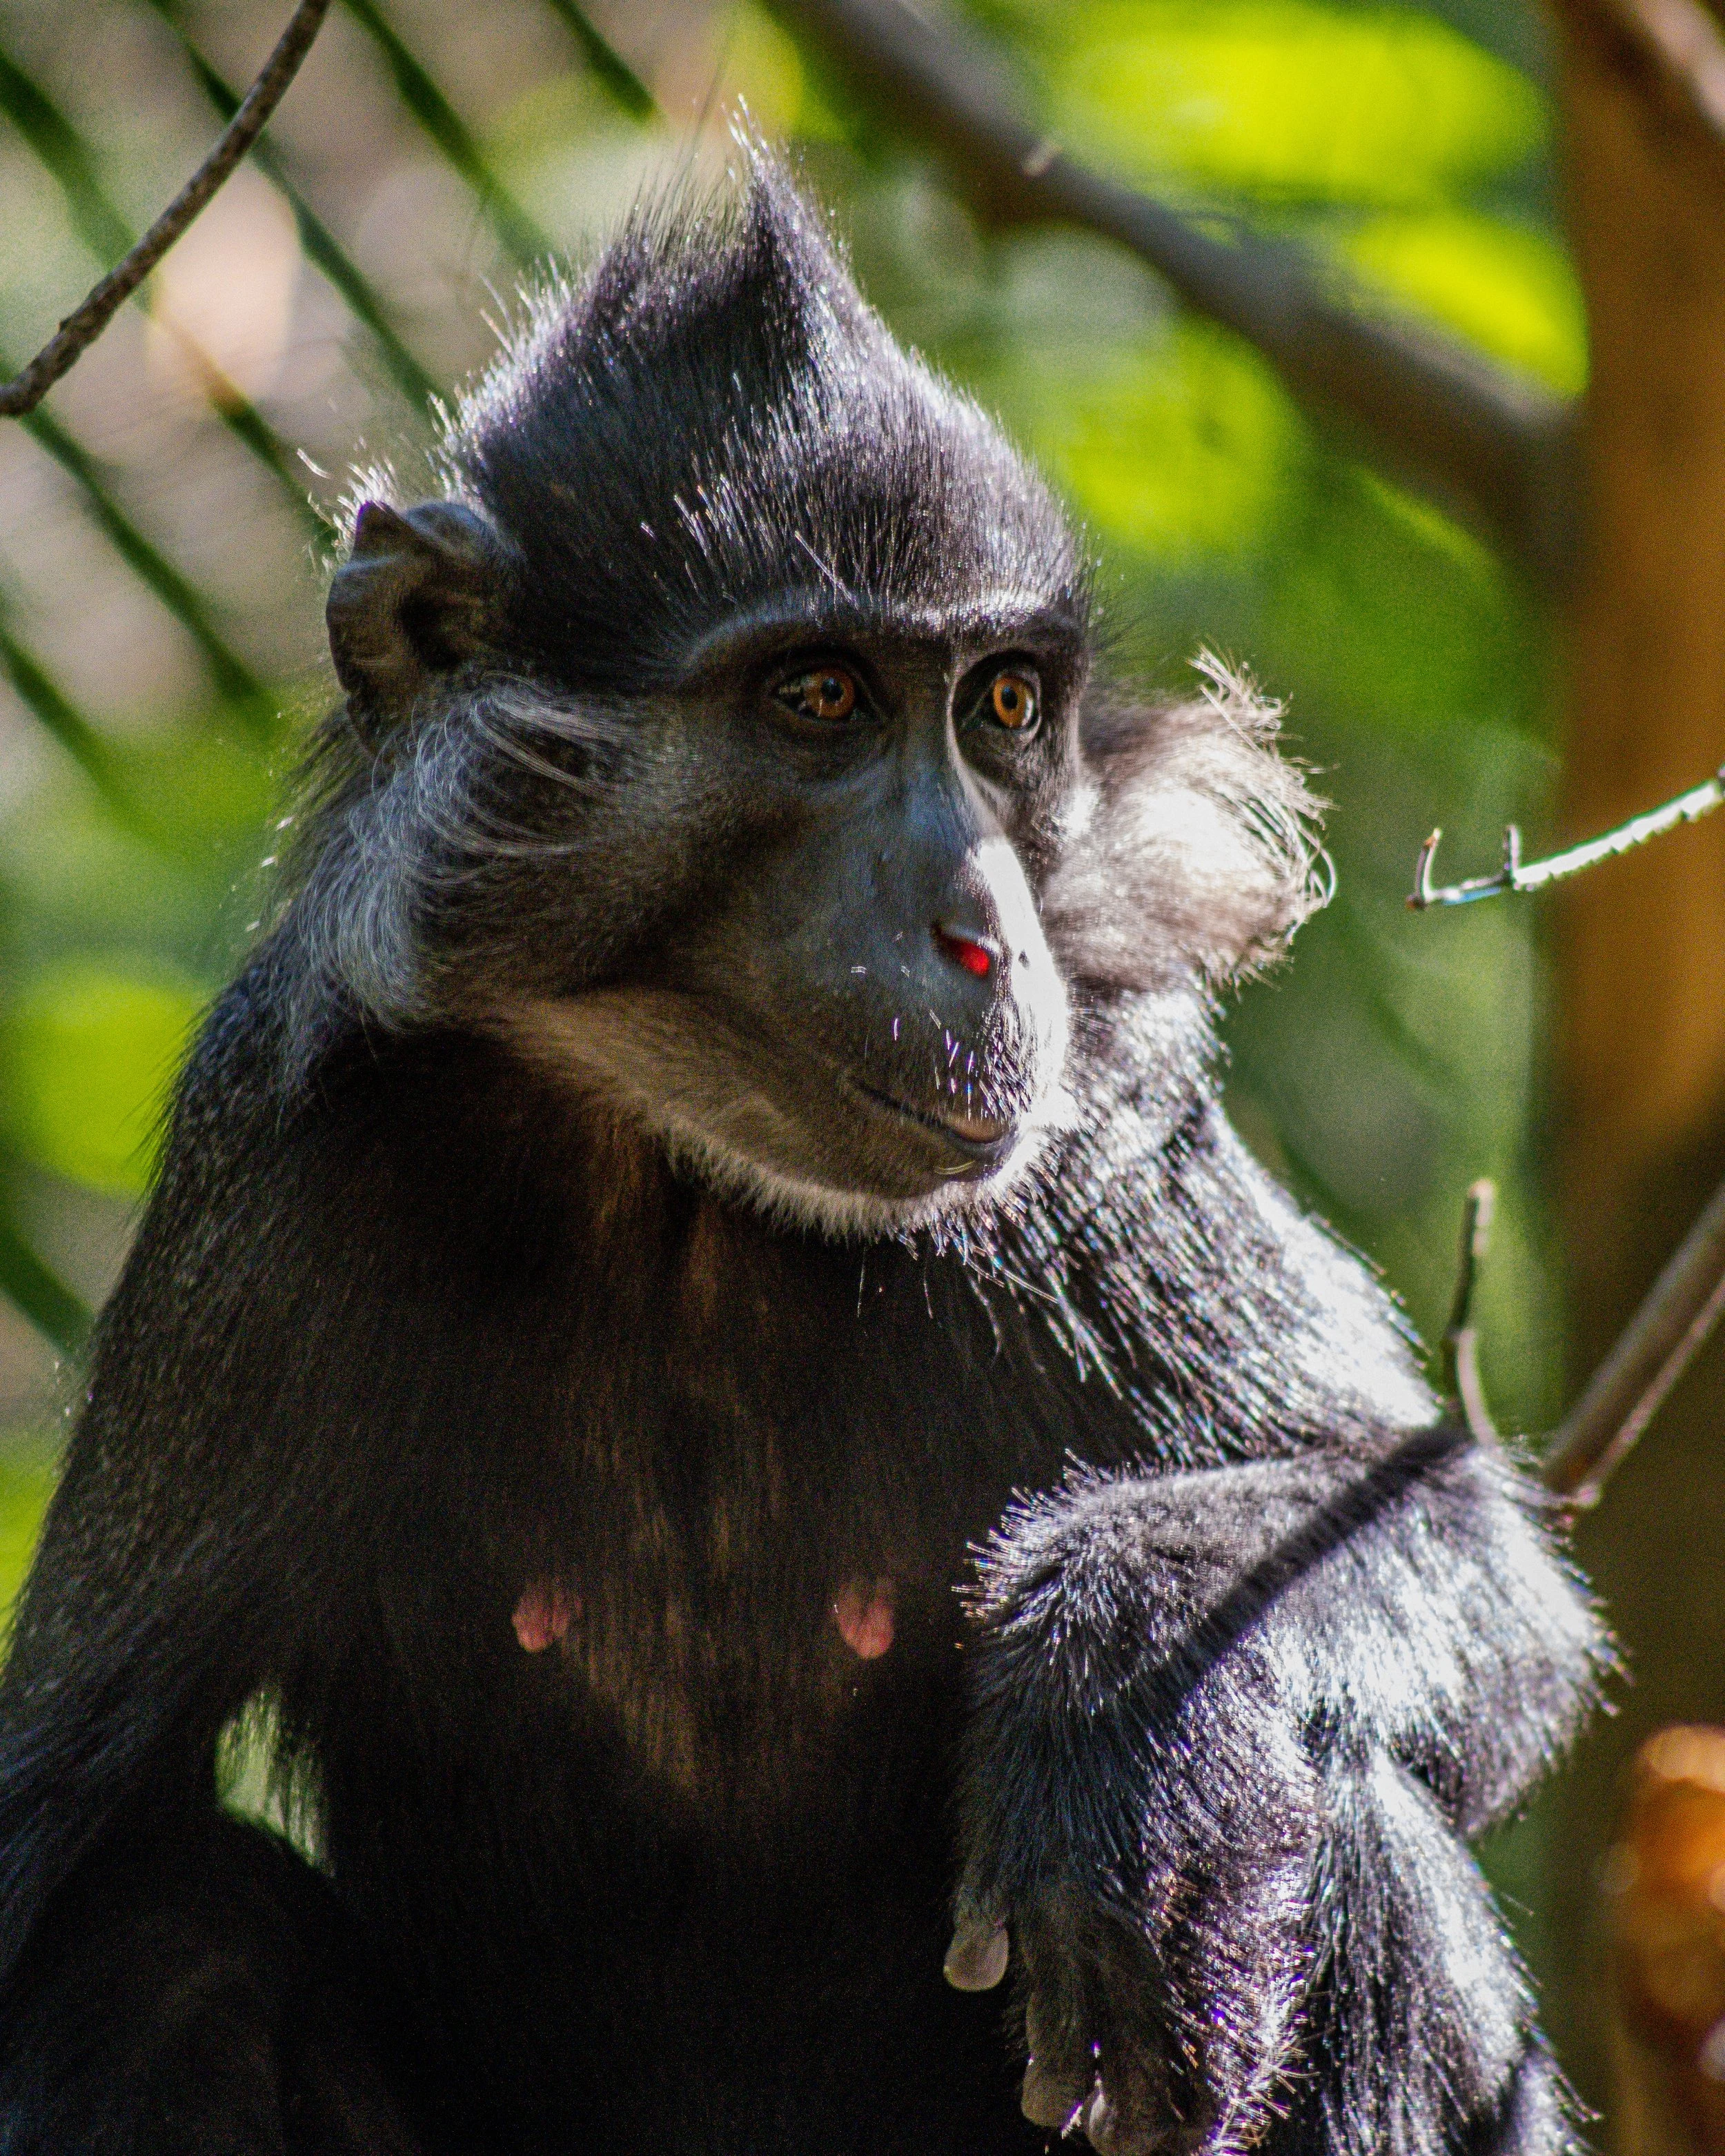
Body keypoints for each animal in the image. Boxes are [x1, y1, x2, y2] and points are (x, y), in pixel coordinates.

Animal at [0, 154, 1602, 2156]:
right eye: (821, 697)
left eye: (999, 706)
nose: (982, 931)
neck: (689, 1182)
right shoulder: (264, 1174)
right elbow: (57, 1837)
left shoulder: (1108, 1100)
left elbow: (1469, 1562)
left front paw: (1117, 1681)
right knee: (167, 1928)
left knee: (1342, 1821)